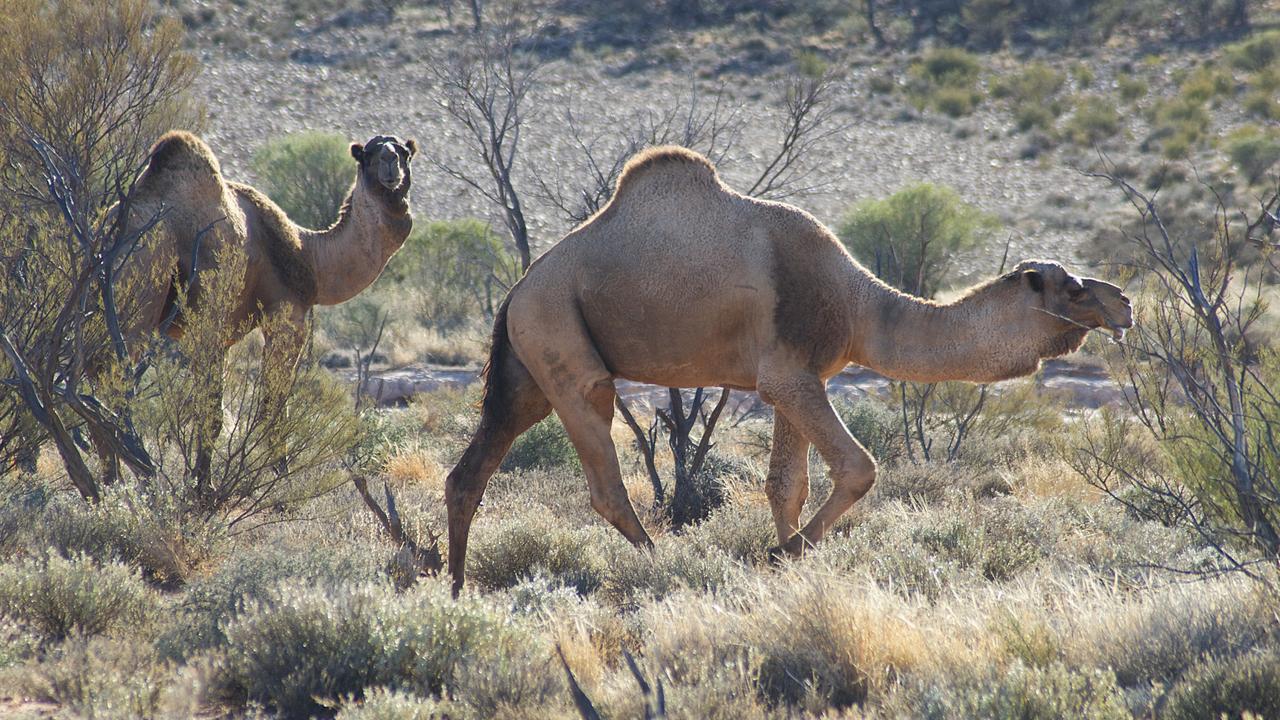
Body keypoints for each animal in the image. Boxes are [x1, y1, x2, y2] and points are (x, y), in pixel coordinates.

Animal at [109, 131, 417, 484]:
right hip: (143, 287)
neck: (309, 254)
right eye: (367, 154)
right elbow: (269, 406)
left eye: (404, 152)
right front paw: (278, 479)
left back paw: (112, 481)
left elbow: (212, 410)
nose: (390, 161)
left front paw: (203, 479)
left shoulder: (222, 337)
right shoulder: (286, 315)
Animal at [442, 142, 1131, 591]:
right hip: (561, 339)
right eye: (1073, 289)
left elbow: (785, 484)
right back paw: (662, 562)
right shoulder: (790, 374)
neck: (858, 305)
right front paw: (779, 556)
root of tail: (516, 289)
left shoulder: (801, 377)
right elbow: (858, 468)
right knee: (603, 472)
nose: (1122, 301)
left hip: (527, 366)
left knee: (472, 468)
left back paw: (453, 586)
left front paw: (788, 557)